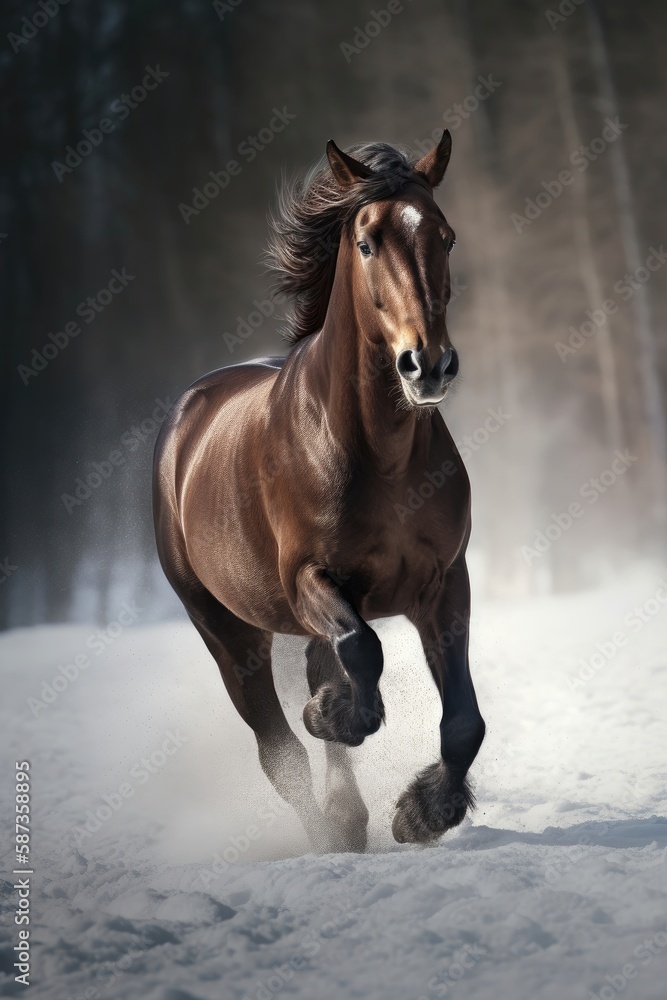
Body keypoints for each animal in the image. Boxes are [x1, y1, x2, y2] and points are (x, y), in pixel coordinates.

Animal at [153, 129, 485, 852]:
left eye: (445, 238)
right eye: (365, 243)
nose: (429, 365)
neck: (380, 456)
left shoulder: (445, 582)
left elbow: (463, 723)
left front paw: (423, 812)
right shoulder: (310, 580)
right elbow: (361, 652)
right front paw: (332, 716)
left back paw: (350, 811)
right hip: (227, 634)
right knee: (279, 754)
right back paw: (330, 827)